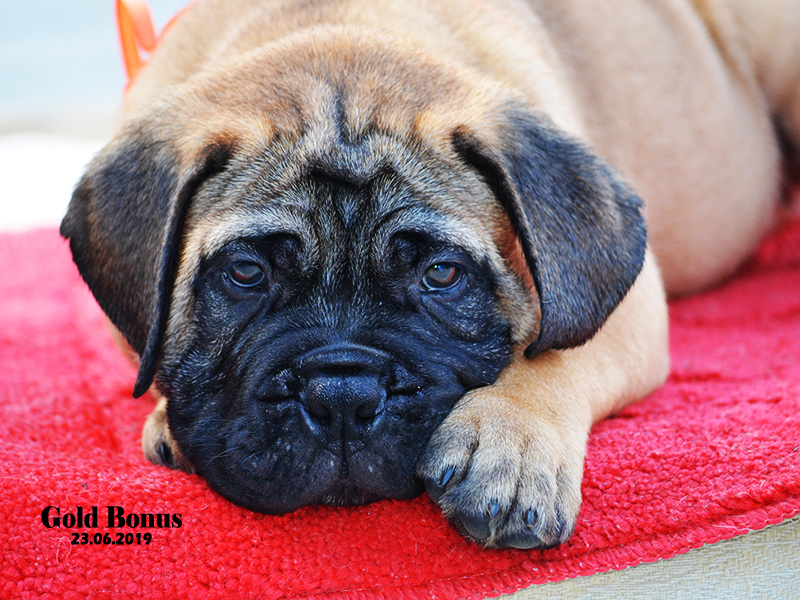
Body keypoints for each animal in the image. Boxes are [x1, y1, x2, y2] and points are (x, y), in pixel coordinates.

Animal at [62, 0, 800, 548]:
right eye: (245, 274)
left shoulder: (628, 302)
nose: (343, 393)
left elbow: (558, 348)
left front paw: (510, 442)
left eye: (441, 275)